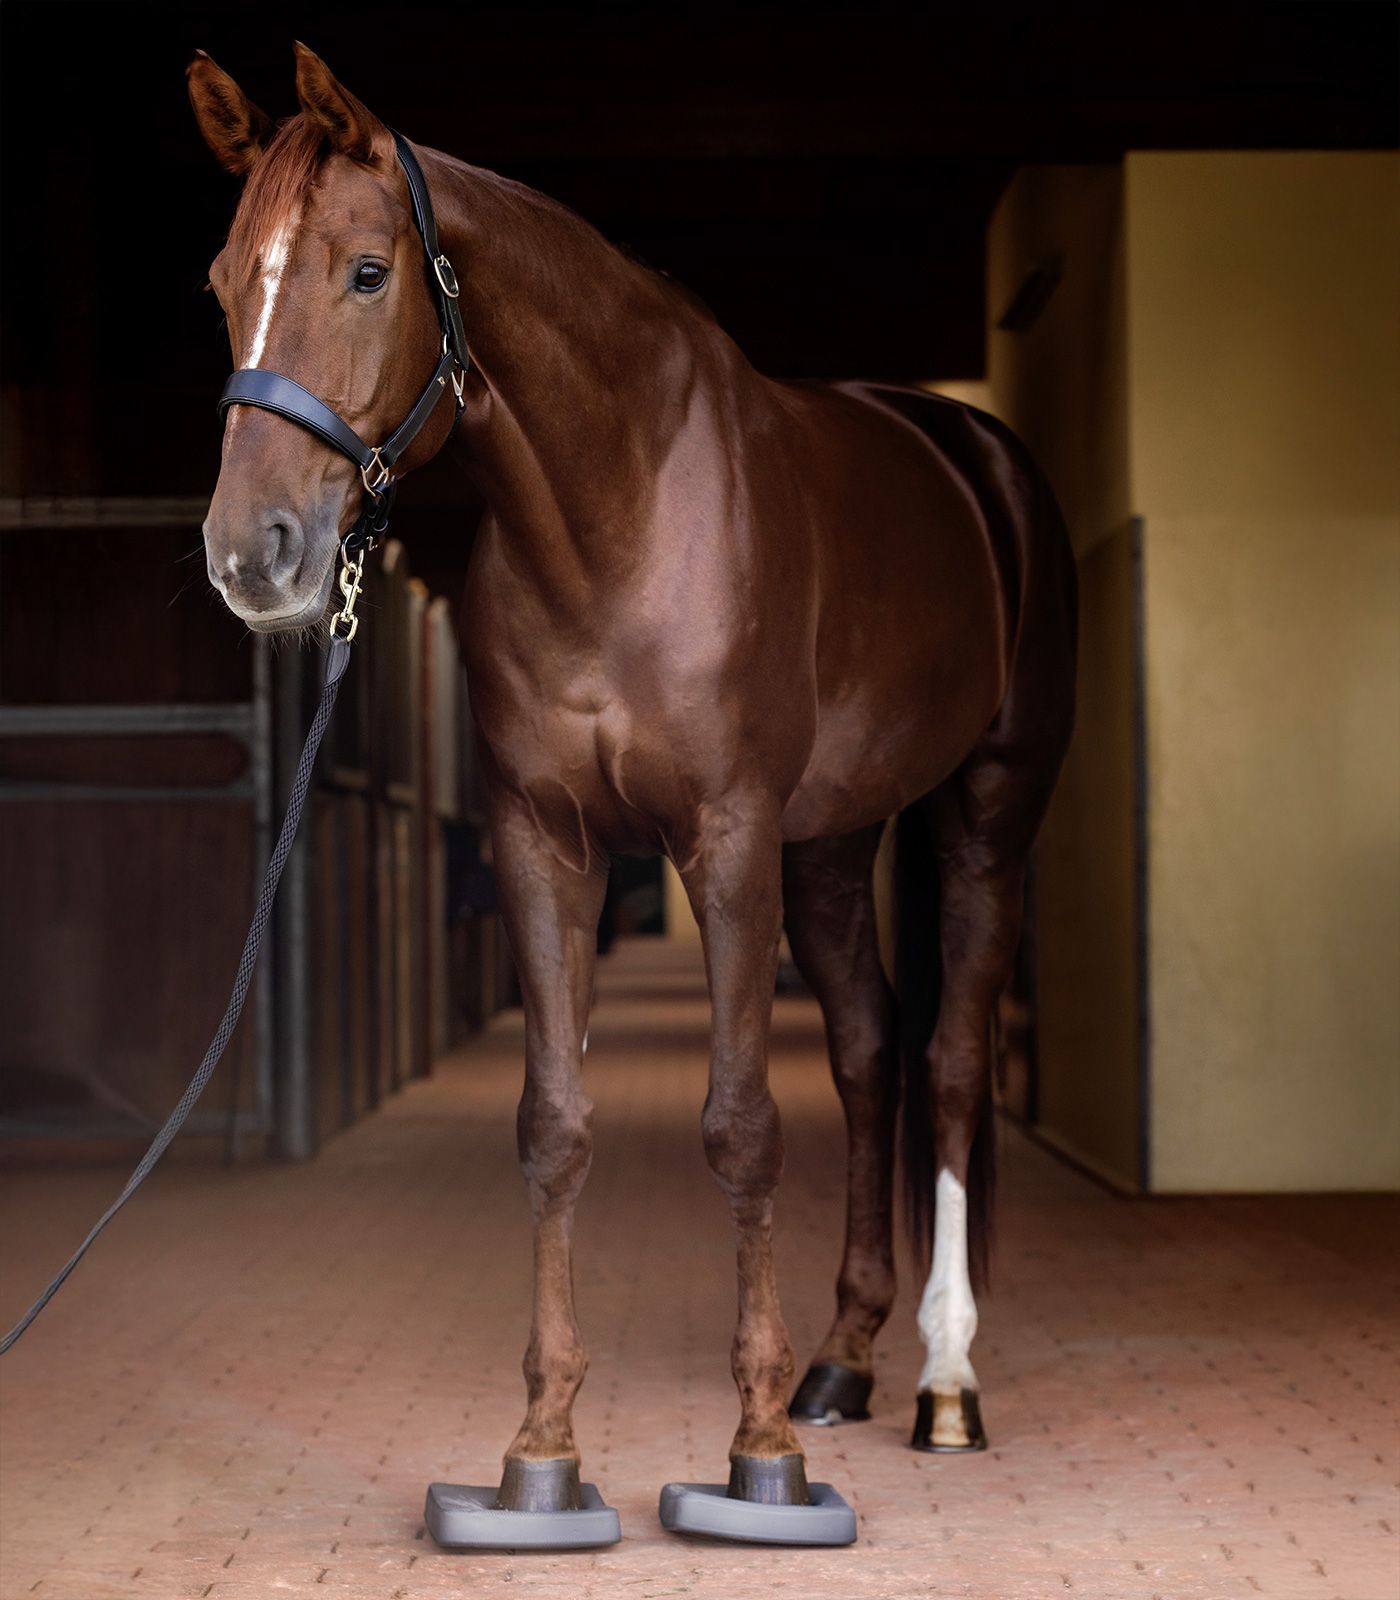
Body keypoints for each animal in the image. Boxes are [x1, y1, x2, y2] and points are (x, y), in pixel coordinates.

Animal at [189, 43, 1077, 1518]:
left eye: (366, 271)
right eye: (219, 281)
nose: (251, 555)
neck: (625, 507)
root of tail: (981, 456)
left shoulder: (726, 836)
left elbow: (742, 1125)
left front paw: (759, 1448)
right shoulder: (545, 839)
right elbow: (554, 1125)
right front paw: (542, 1448)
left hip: (985, 813)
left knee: (949, 1062)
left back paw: (945, 1385)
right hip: (829, 847)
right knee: (869, 1049)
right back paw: (842, 1361)